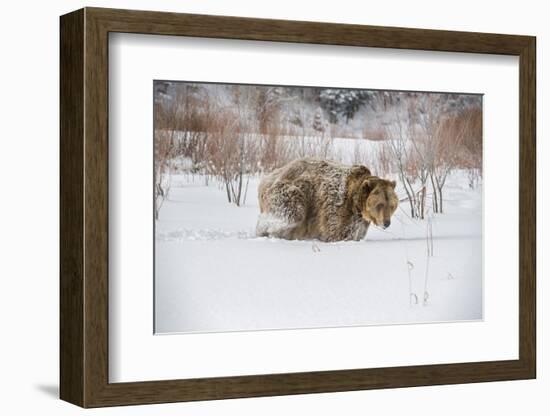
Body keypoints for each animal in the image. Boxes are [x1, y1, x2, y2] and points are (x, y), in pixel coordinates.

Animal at [256, 158, 398, 244]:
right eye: (379, 204)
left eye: (391, 205)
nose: (387, 223)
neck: (357, 204)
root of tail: (266, 179)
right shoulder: (337, 207)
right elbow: (337, 233)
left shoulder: (360, 221)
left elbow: (357, 234)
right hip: (289, 191)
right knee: (292, 212)